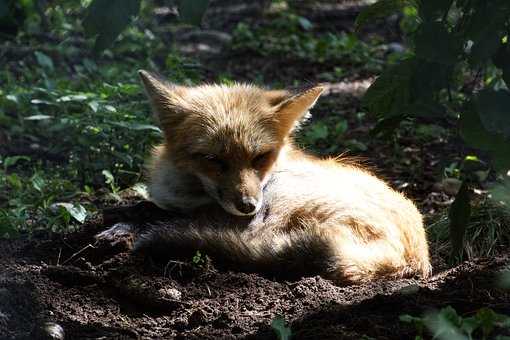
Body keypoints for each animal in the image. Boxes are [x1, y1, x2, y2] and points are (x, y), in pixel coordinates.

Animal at [97, 71, 432, 284]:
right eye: (213, 160)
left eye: (259, 157)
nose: (247, 205)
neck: (186, 189)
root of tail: (411, 258)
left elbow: (154, 212)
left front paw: (122, 225)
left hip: (281, 199)